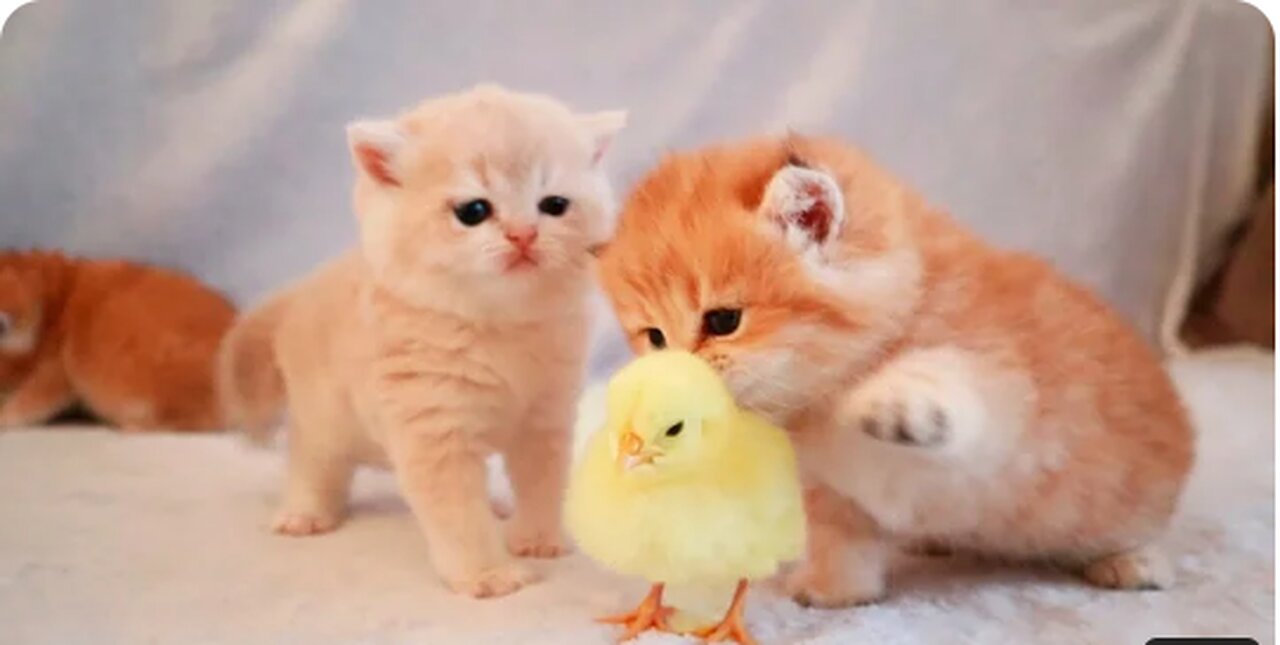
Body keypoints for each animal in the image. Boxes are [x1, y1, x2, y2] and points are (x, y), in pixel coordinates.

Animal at [221, 84, 629, 598]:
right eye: (474, 211)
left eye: (554, 205)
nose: (523, 235)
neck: (499, 328)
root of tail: (303, 289)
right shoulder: (434, 431)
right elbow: (458, 515)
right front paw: (487, 574)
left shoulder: (546, 417)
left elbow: (543, 484)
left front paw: (538, 539)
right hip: (324, 418)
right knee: (311, 461)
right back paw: (304, 513)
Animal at [593, 135, 1192, 604]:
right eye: (654, 338)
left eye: (723, 321)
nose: (671, 385)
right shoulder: (828, 489)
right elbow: (841, 538)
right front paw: (834, 590)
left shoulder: (1006, 397)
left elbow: (951, 378)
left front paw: (890, 401)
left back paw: (1134, 563)